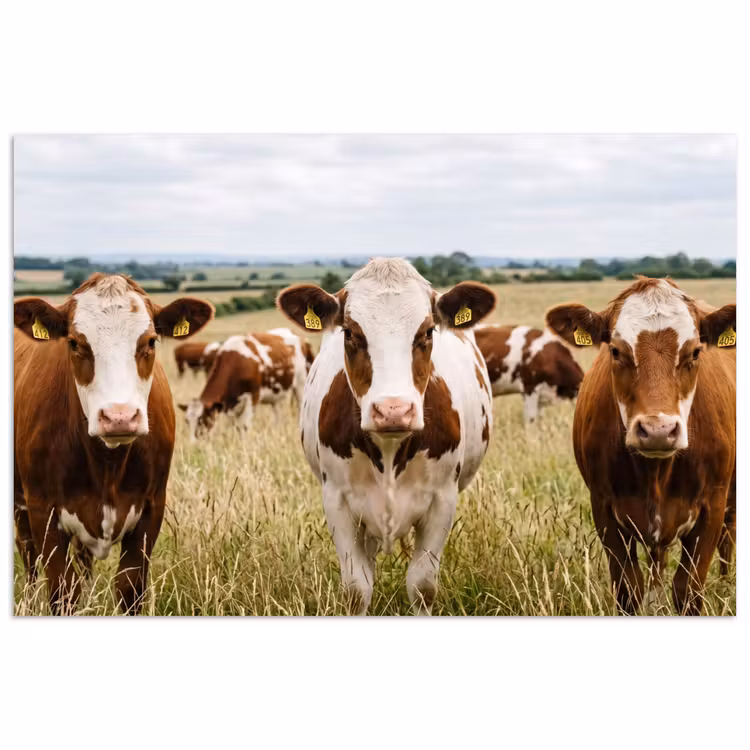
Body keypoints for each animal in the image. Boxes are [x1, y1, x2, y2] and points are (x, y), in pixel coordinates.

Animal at [14, 273, 214, 614]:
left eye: (150, 341)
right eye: (75, 343)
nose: (119, 416)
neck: (106, 464)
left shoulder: (151, 509)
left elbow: (129, 588)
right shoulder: (43, 511)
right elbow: (61, 590)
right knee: (28, 556)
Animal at [277, 257, 496, 615]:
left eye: (427, 331)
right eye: (350, 333)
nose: (394, 410)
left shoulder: (443, 499)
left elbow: (422, 585)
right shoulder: (337, 500)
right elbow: (357, 588)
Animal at [546, 277, 736, 615]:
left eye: (695, 352)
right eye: (616, 350)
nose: (658, 430)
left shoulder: (711, 508)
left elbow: (688, 590)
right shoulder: (604, 510)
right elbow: (628, 589)